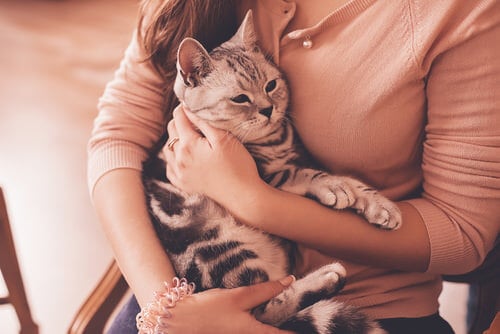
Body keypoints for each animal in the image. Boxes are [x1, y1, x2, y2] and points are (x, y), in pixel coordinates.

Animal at [143, 10, 400, 334]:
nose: (268, 110)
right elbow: (309, 174)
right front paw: (334, 187)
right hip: (224, 248)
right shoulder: (266, 177)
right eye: (240, 98)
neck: (274, 141)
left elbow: (349, 179)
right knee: (264, 312)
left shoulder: (301, 155)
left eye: (271, 85)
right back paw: (326, 276)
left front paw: (378, 204)